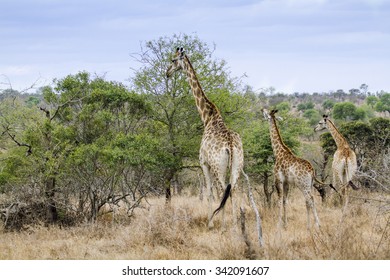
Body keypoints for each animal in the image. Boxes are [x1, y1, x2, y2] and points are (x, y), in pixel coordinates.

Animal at [167, 47, 245, 229]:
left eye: (173, 60)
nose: (167, 73)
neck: (207, 118)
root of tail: (230, 145)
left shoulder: (204, 163)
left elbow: (209, 192)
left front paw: (210, 224)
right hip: (238, 165)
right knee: (234, 189)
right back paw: (235, 224)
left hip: (218, 166)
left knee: (223, 190)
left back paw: (224, 226)